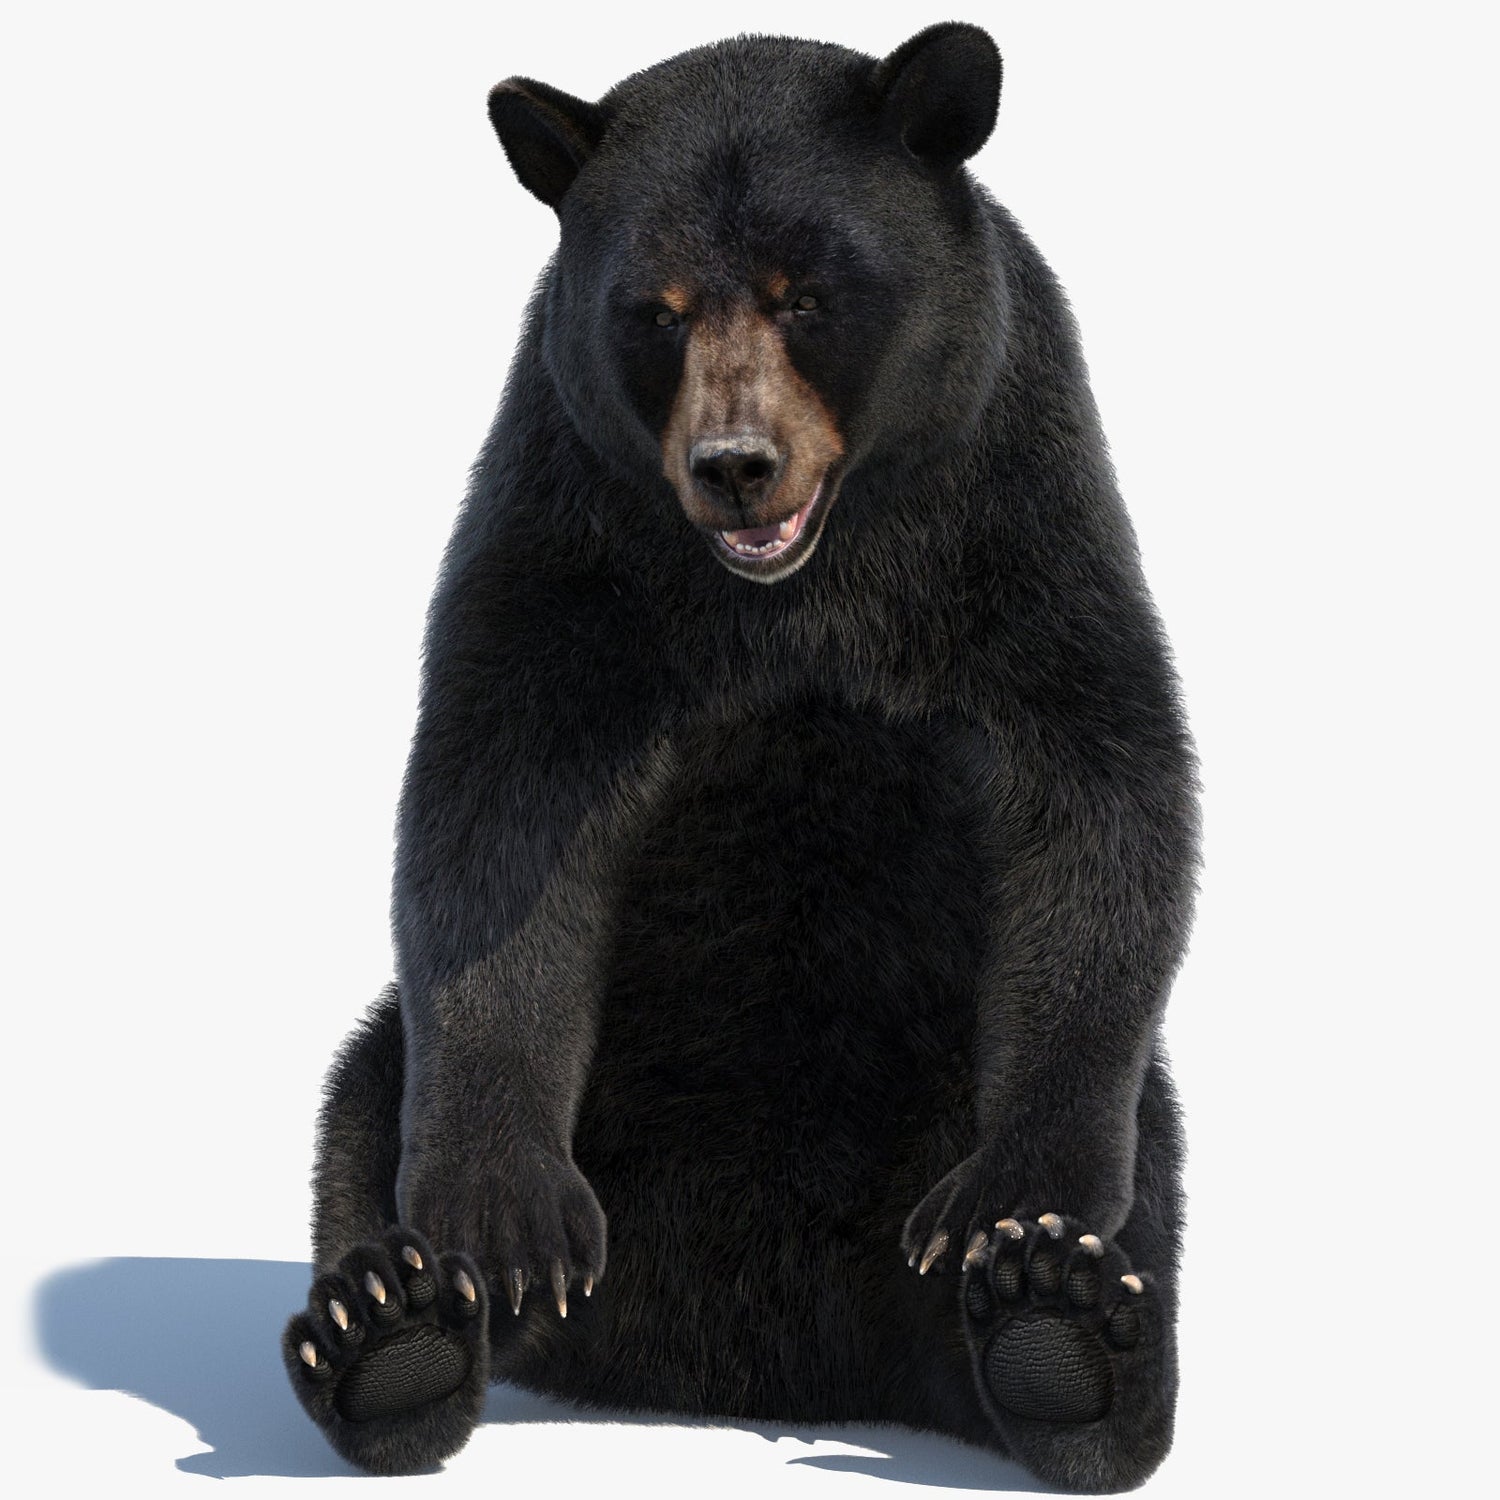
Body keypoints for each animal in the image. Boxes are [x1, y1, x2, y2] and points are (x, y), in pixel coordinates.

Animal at [280, 23, 1199, 1494]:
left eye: (809, 293)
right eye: (650, 312)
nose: (735, 466)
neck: (792, 590)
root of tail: (737, 1362)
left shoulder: (1011, 515)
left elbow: (1097, 782)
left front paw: (1015, 1207)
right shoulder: (574, 537)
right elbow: (497, 813)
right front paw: (508, 1215)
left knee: (1142, 1164)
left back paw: (1061, 1335)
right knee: (365, 1098)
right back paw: (393, 1323)